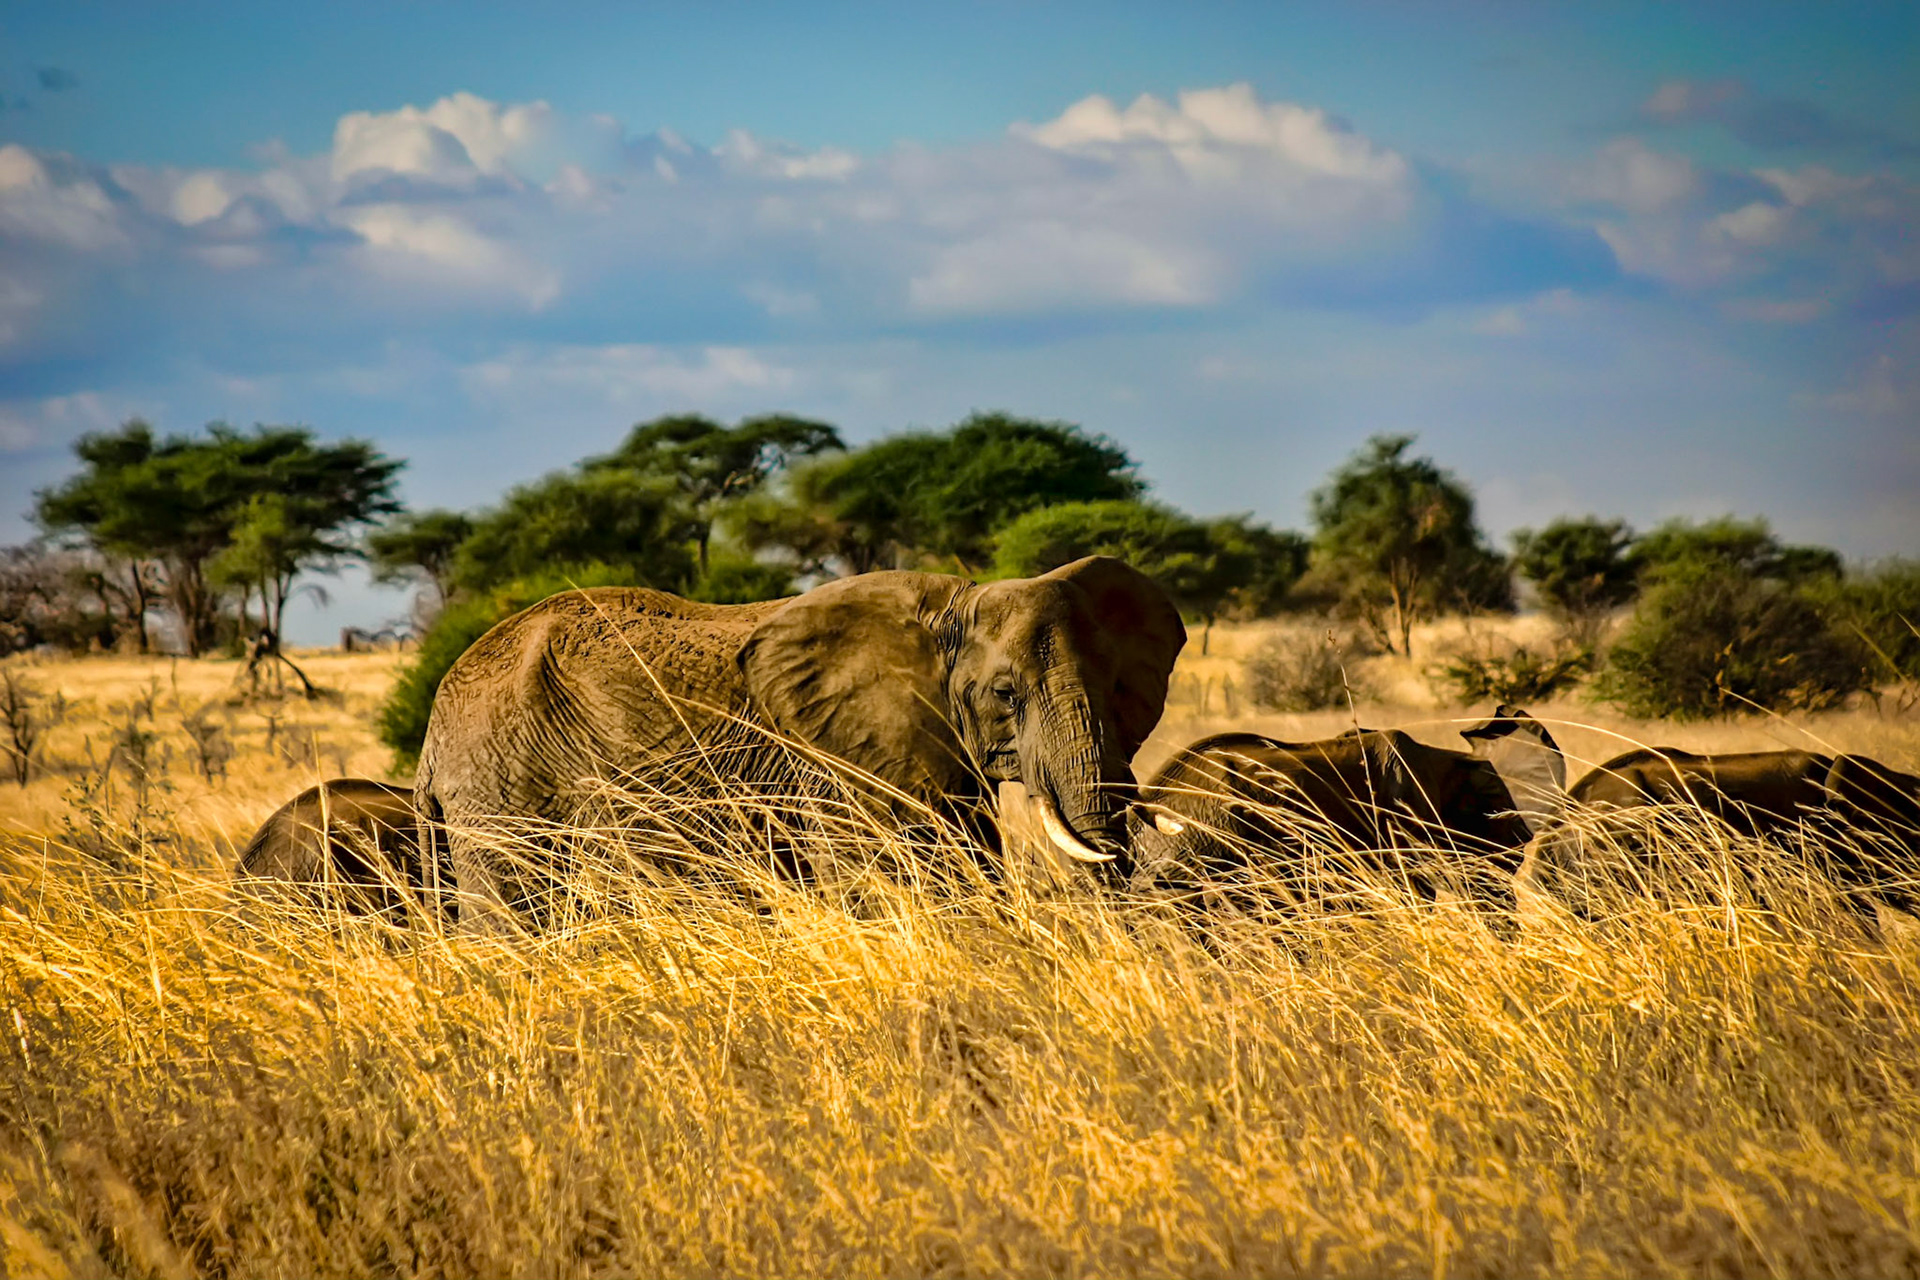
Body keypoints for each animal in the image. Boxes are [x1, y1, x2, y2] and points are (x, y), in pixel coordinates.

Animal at [415, 556, 1185, 923]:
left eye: (1120, 685)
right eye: (1005, 695)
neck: (952, 605)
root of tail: (430, 737)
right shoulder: (839, 759)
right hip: (500, 793)